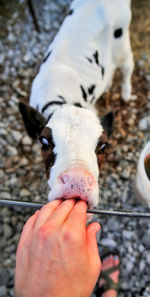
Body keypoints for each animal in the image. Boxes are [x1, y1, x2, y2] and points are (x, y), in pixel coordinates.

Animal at [18, 0, 134, 208]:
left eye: (104, 146)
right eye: (44, 141)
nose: (77, 181)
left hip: (123, 46)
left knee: (128, 66)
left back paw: (126, 93)